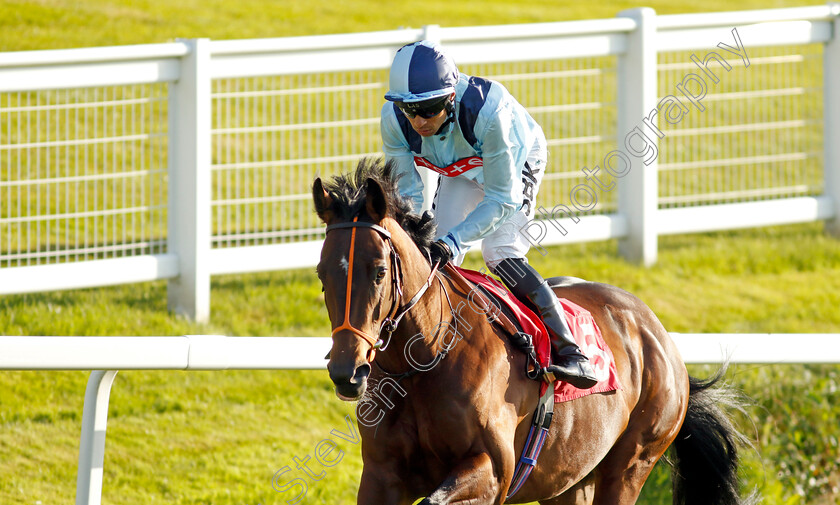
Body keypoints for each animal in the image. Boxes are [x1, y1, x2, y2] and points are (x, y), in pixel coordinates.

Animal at [312, 158, 752, 504]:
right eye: (321, 273)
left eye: (379, 272)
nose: (347, 372)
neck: (427, 361)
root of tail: (657, 332)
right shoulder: (381, 475)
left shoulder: (492, 470)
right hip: (570, 479)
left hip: (632, 463)